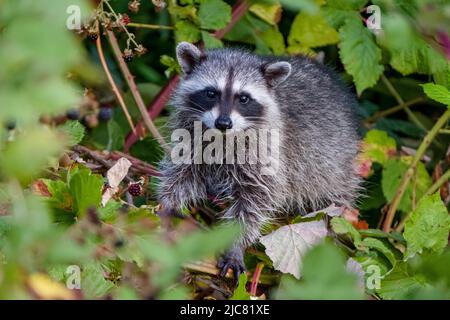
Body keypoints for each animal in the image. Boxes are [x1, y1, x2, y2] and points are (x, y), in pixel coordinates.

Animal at [158, 42, 362, 280]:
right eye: (211, 93)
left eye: (244, 98)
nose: (223, 123)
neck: (224, 137)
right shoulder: (193, 141)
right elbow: (182, 173)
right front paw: (167, 202)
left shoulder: (268, 153)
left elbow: (255, 201)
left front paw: (235, 244)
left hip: (335, 164)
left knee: (333, 200)